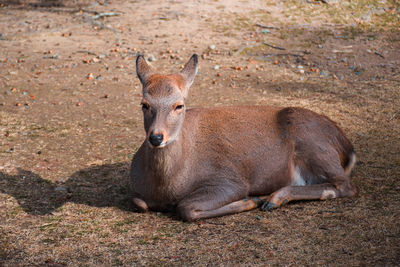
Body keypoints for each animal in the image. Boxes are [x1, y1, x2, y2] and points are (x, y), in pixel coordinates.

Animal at [130, 54, 358, 222]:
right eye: (144, 104)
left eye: (179, 105)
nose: (156, 137)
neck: (167, 187)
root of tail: (347, 147)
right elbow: (139, 203)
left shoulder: (228, 179)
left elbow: (186, 207)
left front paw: (251, 200)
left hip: (313, 144)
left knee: (344, 185)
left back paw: (273, 199)